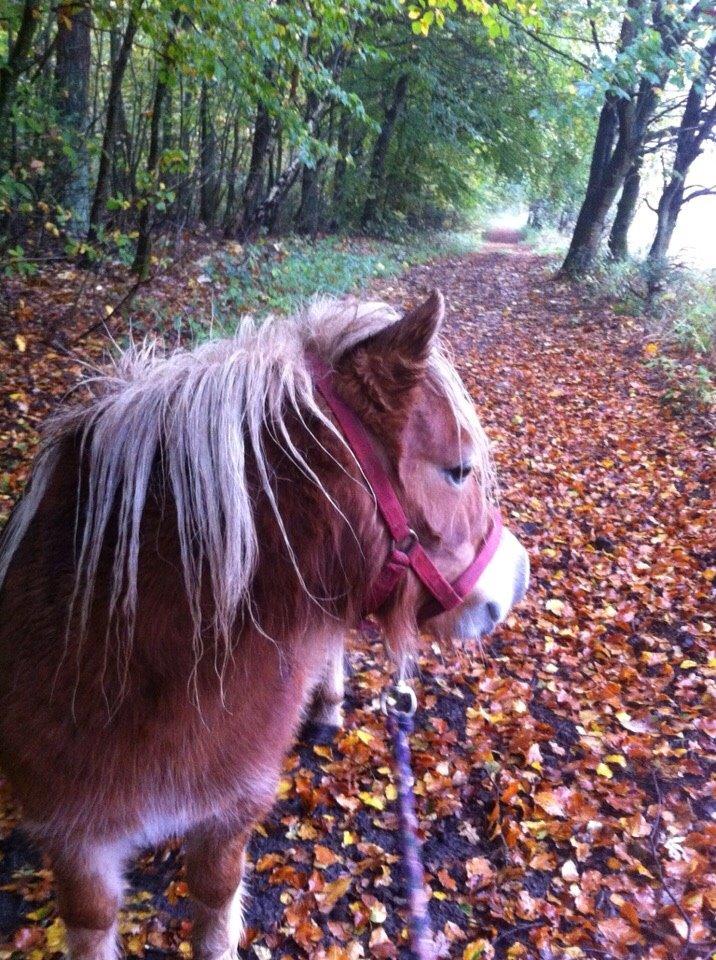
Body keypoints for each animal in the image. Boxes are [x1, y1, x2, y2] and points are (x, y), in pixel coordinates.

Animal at [0, 292, 524, 960]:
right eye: (457, 471)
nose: (517, 580)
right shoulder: (73, 839)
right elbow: (93, 922)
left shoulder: (231, 811)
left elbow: (215, 912)